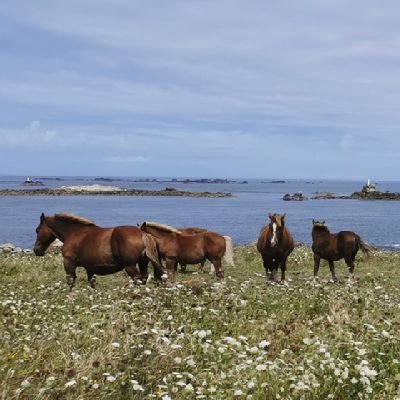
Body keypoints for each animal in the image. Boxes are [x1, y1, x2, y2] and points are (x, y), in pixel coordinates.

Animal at [33, 214, 164, 290]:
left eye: (37, 230)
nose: (36, 250)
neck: (75, 233)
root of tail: (143, 234)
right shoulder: (90, 269)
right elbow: (92, 284)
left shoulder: (69, 263)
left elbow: (71, 282)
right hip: (142, 263)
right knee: (144, 279)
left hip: (130, 266)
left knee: (138, 280)